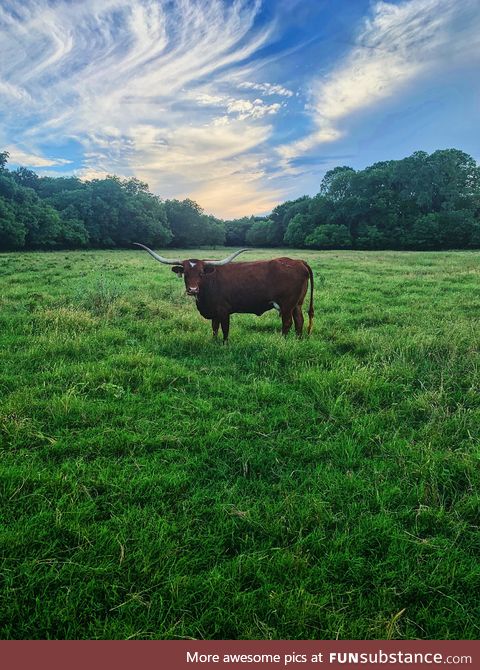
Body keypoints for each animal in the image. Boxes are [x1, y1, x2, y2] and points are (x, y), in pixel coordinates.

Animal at [134, 244, 316, 344]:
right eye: (185, 273)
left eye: (201, 272)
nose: (192, 290)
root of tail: (298, 261)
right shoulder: (214, 311)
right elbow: (214, 328)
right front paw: (214, 341)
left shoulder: (223, 311)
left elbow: (225, 328)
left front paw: (224, 344)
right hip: (297, 304)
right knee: (299, 321)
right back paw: (298, 340)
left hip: (286, 305)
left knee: (287, 323)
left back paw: (282, 341)